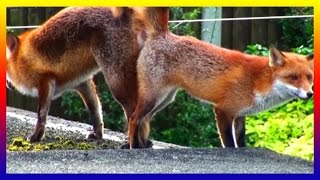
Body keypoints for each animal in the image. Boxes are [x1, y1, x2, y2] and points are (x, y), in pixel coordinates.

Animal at [6, 7, 162, 143]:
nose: (7, 85)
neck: (22, 58)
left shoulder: (46, 81)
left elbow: (41, 114)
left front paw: (36, 137)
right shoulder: (82, 82)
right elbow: (95, 111)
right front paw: (98, 135)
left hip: (117, 82)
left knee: (135, 113)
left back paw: (136, 143)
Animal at [126, 7, 314, 148]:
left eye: (309, 78)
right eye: (293, 77)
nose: (310, 94)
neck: (259, 82)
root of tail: (163, 34)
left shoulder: (240, 115)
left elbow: (241, 142)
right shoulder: (223, 110)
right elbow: (230, 144)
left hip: (164, 100)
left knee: (144, 120)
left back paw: (143, 145)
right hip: (153, 97)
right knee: (134, 119)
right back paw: (134, 147)